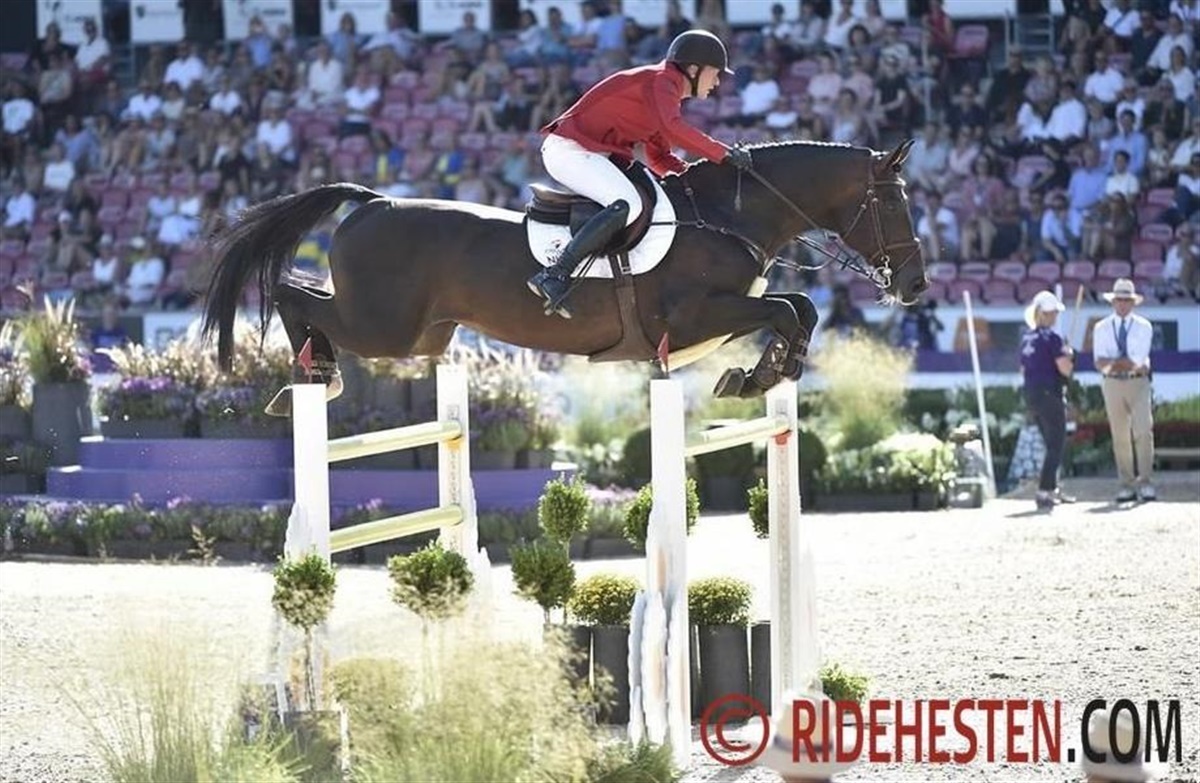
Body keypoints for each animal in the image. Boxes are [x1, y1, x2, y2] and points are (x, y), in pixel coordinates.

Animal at [199, 138, 926, 416]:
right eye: (893, 203)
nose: (916, 286)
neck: (726, 216)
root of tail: (373, 202)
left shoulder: (717, 317)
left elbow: (801, 306)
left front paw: (765, 373)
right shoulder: (695, 316)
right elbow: (784, 308)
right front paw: (758, 375)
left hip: (423, 335)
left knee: (305, 300)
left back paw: (314, 374)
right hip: (386, 326)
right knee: (295, 296)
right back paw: (315, 374)